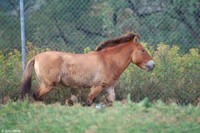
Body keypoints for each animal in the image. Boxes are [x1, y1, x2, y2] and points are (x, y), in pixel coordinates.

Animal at [20, 32, 155, 105]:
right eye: (142, 50)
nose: (153, 64)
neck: (108, 61)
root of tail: (36, 57)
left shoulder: (109, 89)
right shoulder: (97, 87)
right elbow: (88, 103)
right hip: (48, 85)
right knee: (36, 96)